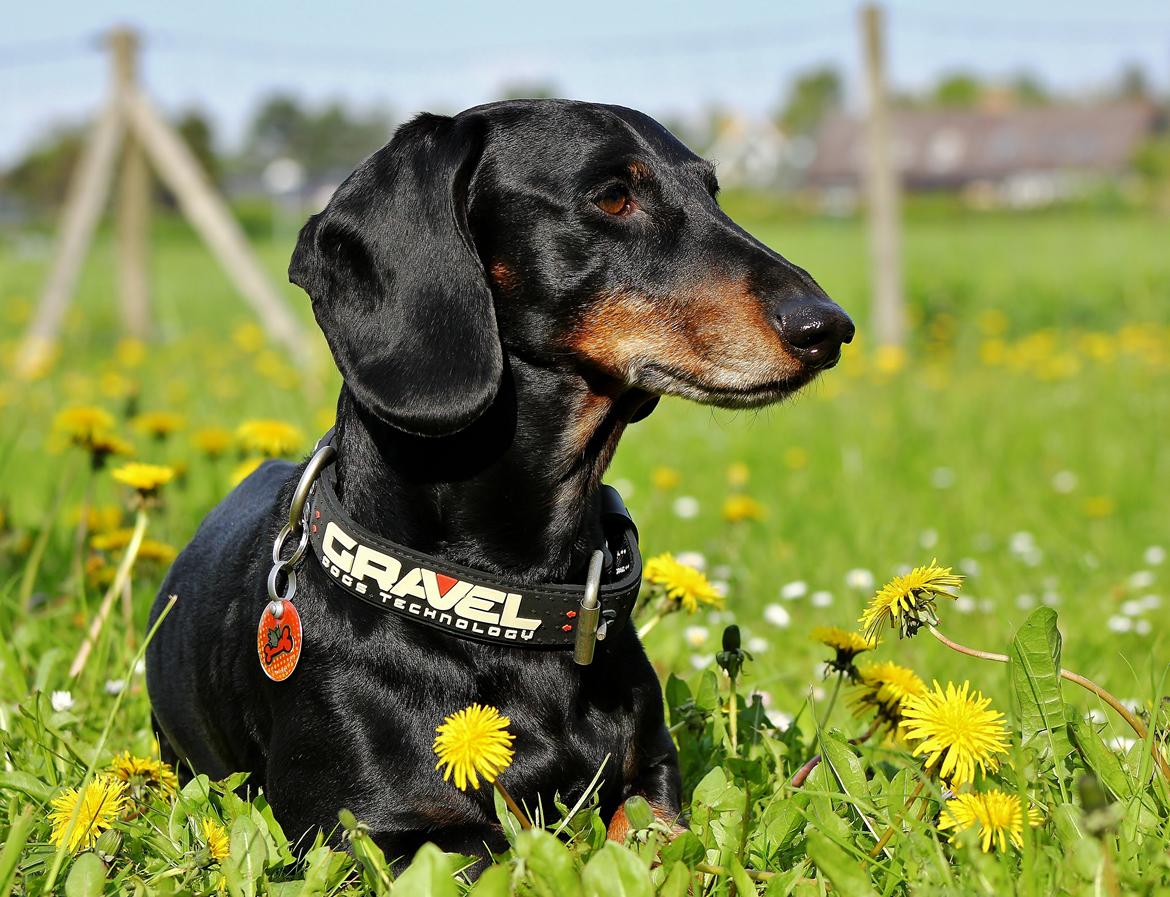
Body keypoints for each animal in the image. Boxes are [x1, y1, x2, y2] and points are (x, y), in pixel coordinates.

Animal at [148, 98, 851, 860]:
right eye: (613, 196)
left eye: (712, 192)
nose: (830, 328)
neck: (504, 599)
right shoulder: (372, 830)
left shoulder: (654, 776)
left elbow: (655, 836)